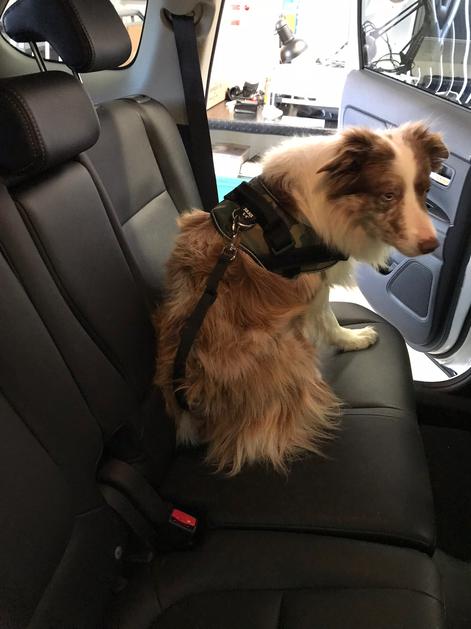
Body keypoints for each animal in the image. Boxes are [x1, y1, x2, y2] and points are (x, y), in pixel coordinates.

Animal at [155, 121, 448, 475]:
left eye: (423, 191)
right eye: (388, 195)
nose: (431, 245)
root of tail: (189, 402)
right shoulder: (312, 284)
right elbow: (329, 320)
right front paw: (354, 339)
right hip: (287, 347)